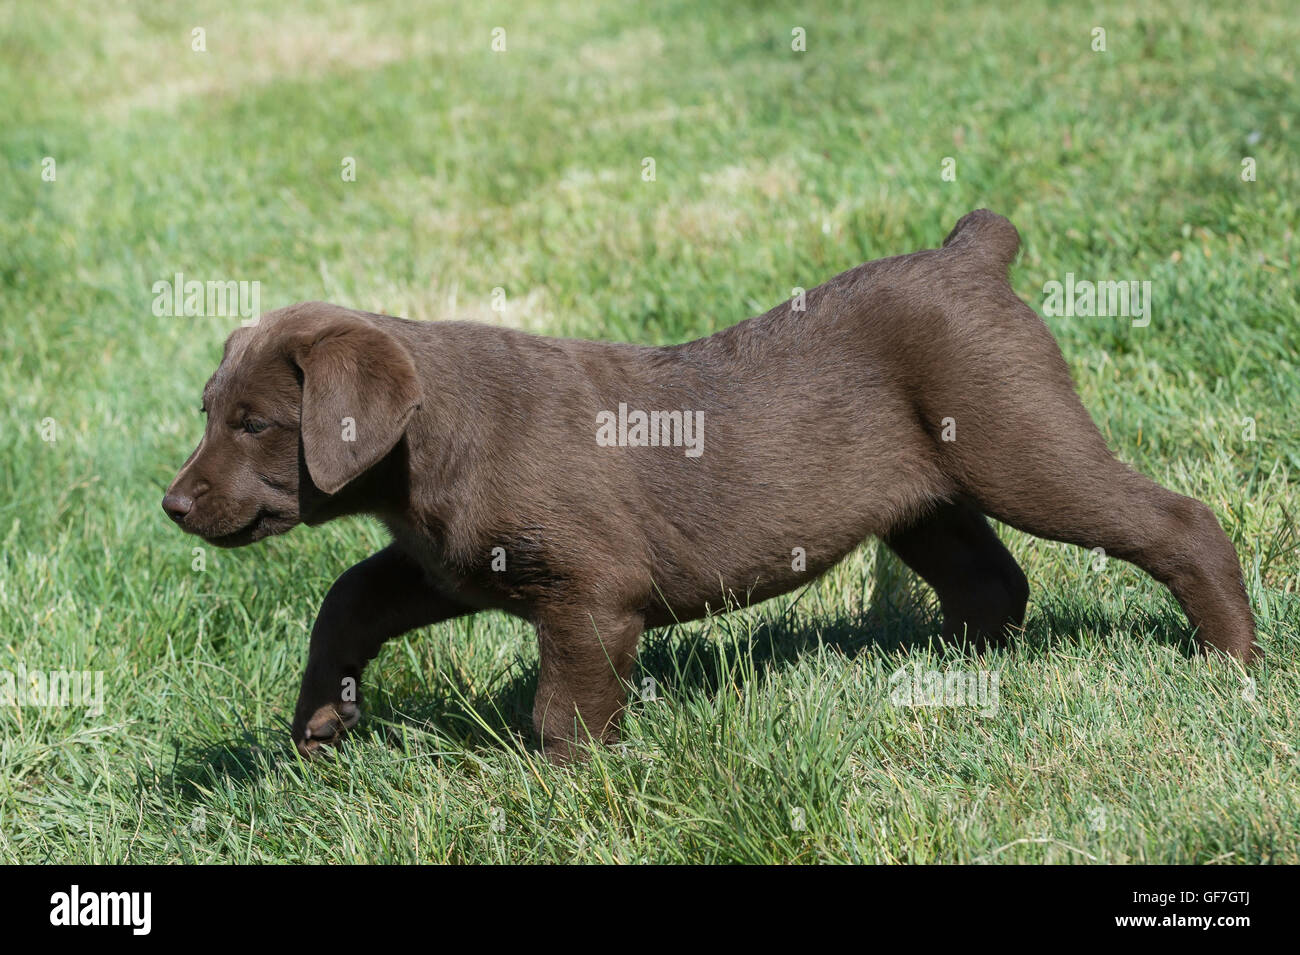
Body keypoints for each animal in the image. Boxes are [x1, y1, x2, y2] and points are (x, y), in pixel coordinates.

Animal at [162, 210, 1258, 764]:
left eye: (255, 423)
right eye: (209, 410)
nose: (172, 505)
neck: (433, 444)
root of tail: (968, 254)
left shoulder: (587, 596)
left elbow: (565, 712)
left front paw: (570, 796)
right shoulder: (450, 563)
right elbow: (347, 598)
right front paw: (319, 721)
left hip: (1018, 444)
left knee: (1178, 523)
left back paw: (1230, 660)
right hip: (924, 497)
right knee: (992, 583)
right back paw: (945, 673)